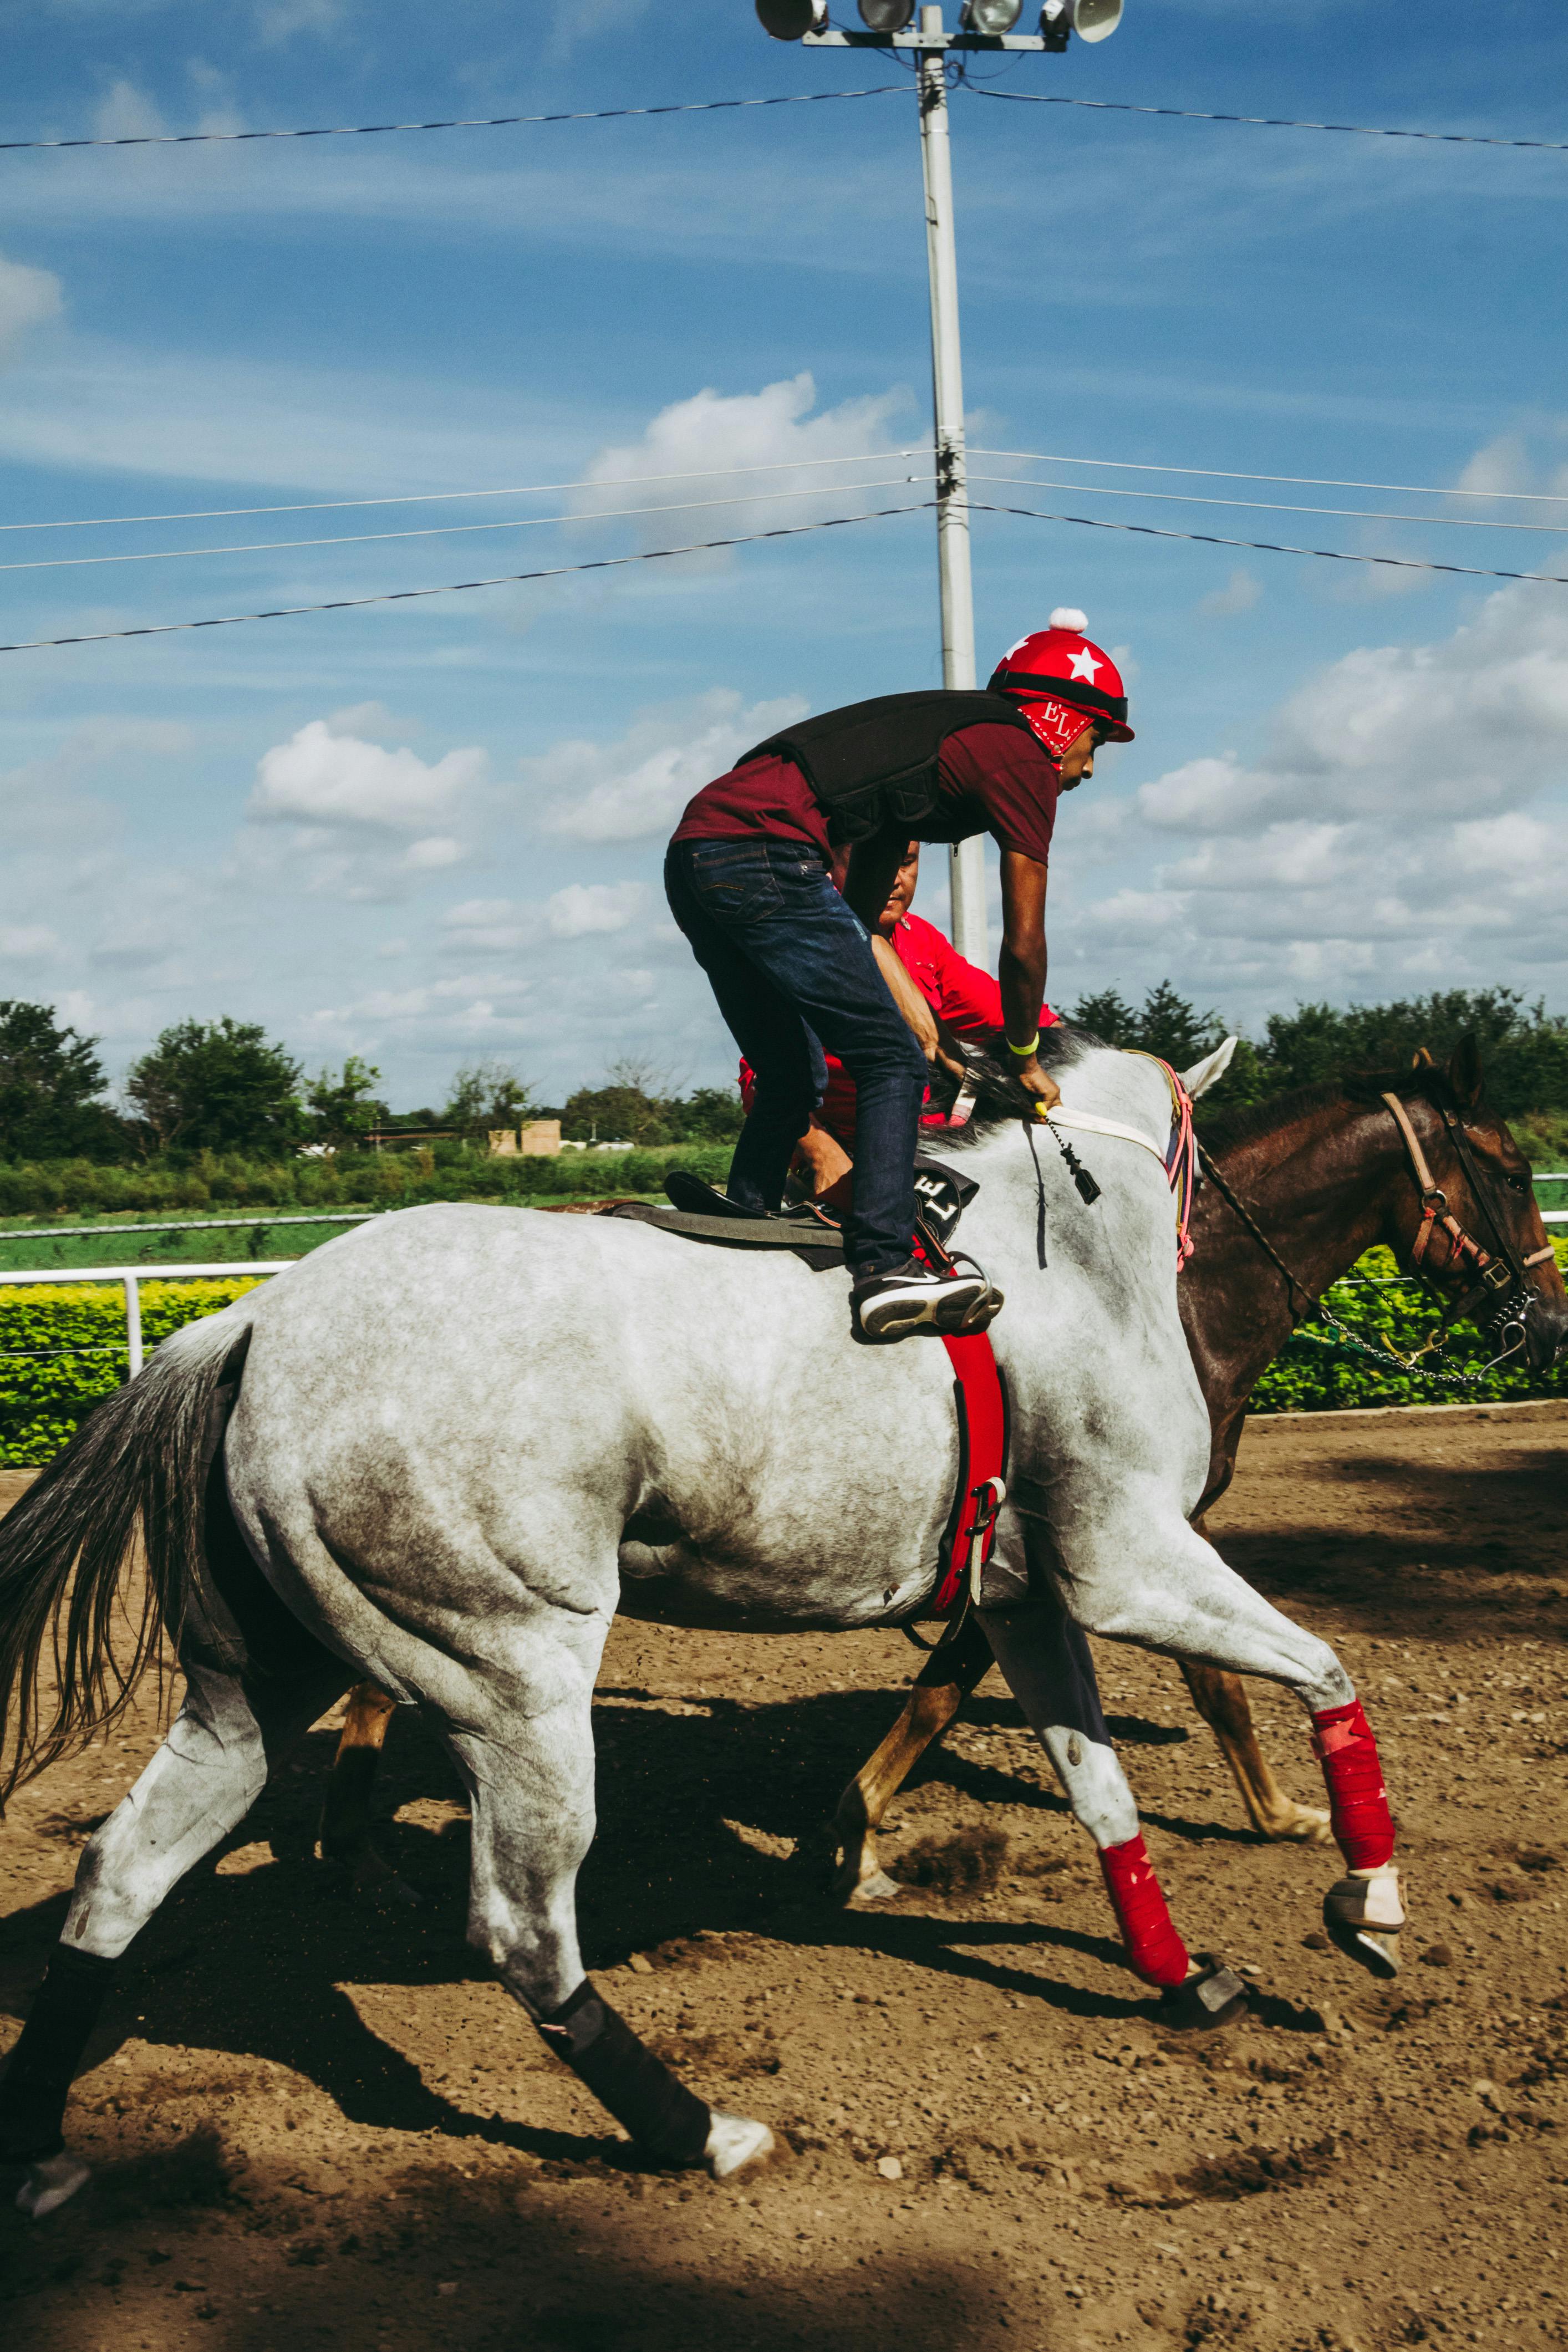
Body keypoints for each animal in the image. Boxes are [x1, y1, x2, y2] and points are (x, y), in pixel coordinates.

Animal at [0, 1039, 1419, 2211]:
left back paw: (46, 2145)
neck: (1054, 1254)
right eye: (1473, 1164)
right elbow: (1323, 1672)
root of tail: (251, 1320)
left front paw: (1183, 1976)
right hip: (512, 1678)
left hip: (252, 1685)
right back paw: (696, 2131)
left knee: (122, 1869)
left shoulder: (1028, 1600)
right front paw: (1365, 1891)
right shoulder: (1127, 1561)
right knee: (524, 1930)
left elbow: (1102, 1795)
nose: (1498, 1298)